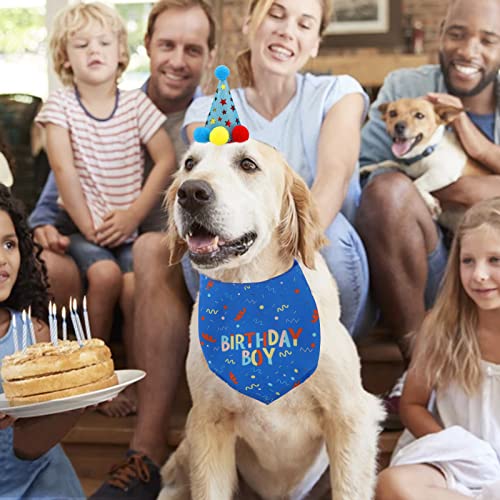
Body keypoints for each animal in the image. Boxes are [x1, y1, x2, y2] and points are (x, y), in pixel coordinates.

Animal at [158, 138, 384, 500]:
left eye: (248, 164)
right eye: (190, 164)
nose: (190, 192)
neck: (254, 304)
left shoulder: (350, 415)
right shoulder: (208, 422)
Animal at [360, 96, 488, 229]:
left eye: (419, 115)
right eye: (392, 113)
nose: (398, 126)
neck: (423, 154)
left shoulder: (444, 172)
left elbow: (417, 183)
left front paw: (431, 203)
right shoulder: (408, 169)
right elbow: (387, 162)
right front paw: (367, 168)